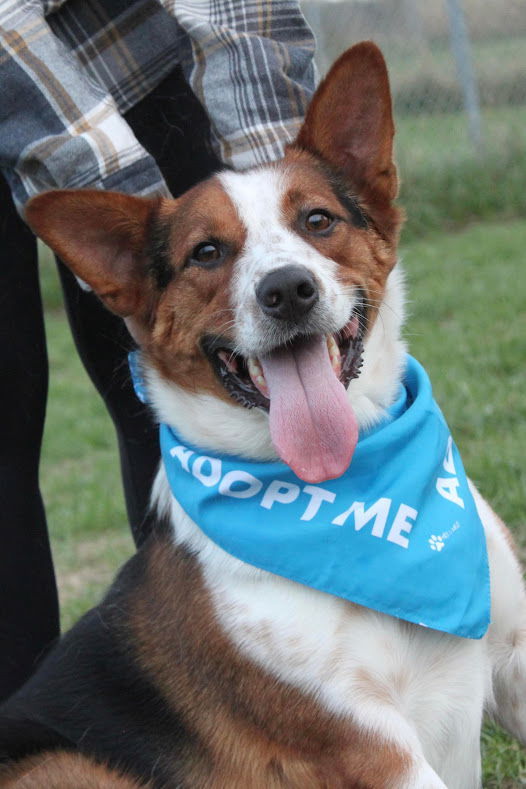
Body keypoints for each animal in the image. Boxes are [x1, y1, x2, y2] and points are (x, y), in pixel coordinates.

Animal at [1, 44, 526, 788]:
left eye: (318, 220)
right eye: (206, 252)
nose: (287, 290)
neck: (348, 489)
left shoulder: (514, 658)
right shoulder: (370, 745)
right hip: (71, 764)